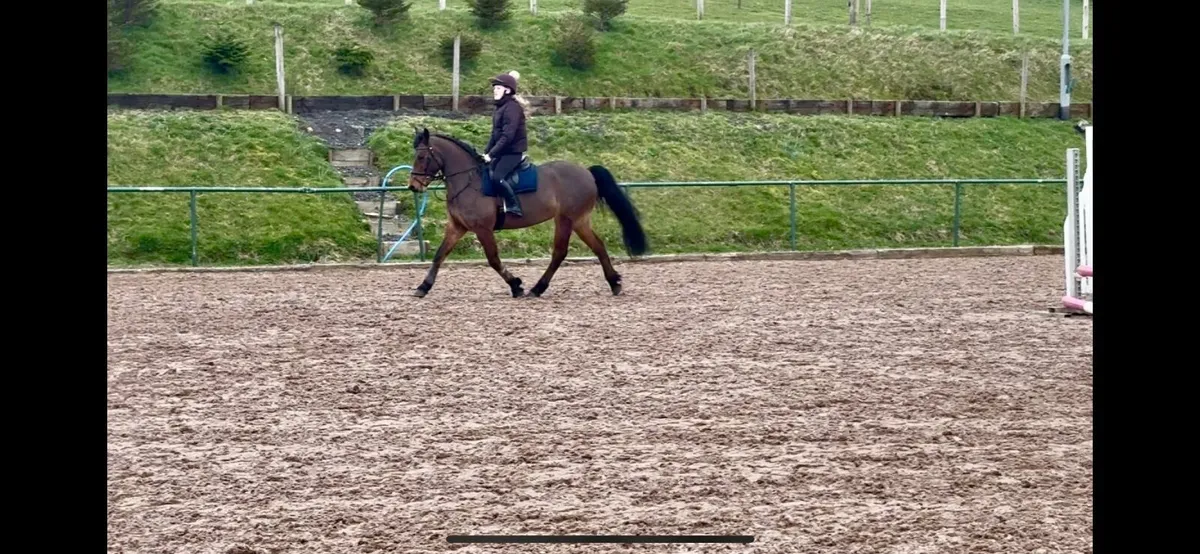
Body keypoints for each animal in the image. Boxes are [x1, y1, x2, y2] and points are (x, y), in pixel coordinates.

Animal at [405, 127, 649, 298]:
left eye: (422, 157)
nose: (413, 186)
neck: (468, 180)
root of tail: (587, 172)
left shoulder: (482, 228)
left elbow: (493, 259)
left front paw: (516, 285)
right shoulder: (457, 227)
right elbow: (439, 255)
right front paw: (423, 287)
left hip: (566, 219)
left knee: (559, 252)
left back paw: (537, 288)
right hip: (580, 220)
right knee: (598, 246)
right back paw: (614, 283)